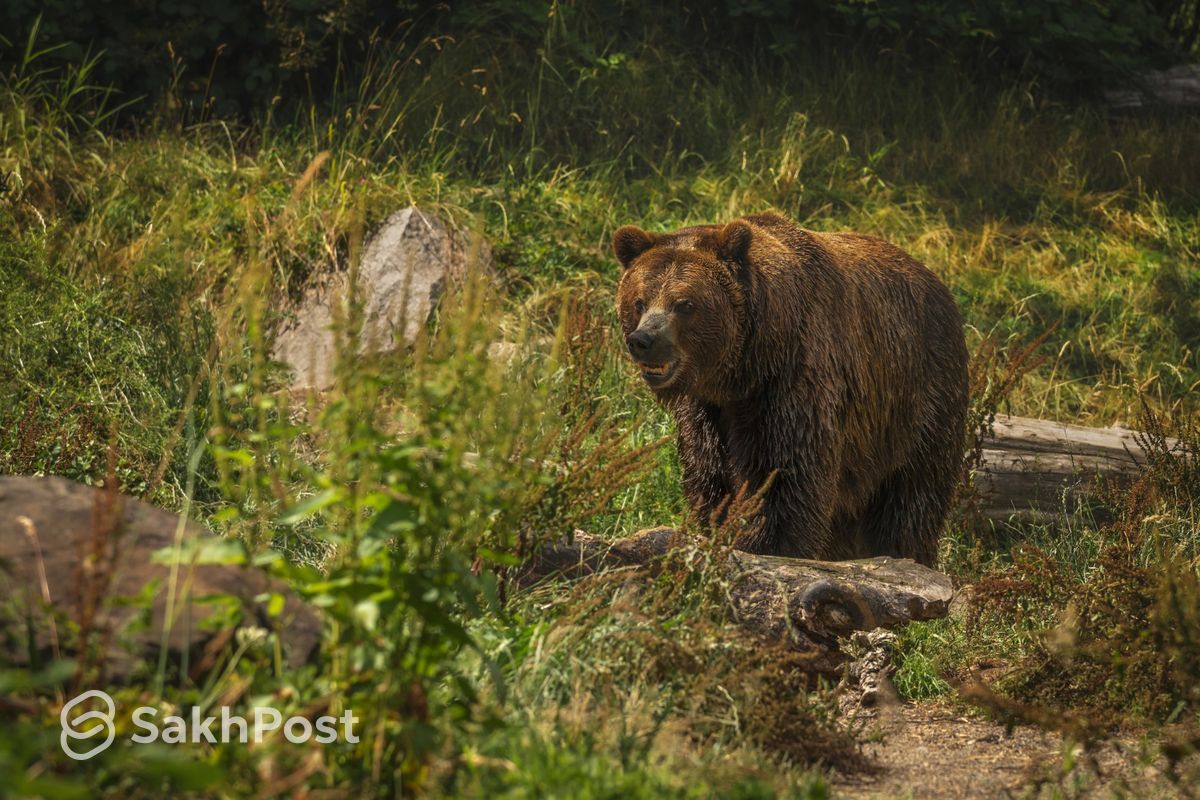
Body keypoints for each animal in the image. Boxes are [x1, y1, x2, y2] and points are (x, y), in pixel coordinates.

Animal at [614, 209, 969, 566]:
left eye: (685, 304)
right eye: (639, 301)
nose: (644, 340)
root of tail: (940, 285)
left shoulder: (792, 383)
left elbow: (784, 477)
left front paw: (764, 545)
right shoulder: (706, 409)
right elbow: (709, 475)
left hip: (917, 401)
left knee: (911, 498)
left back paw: (903, 552)